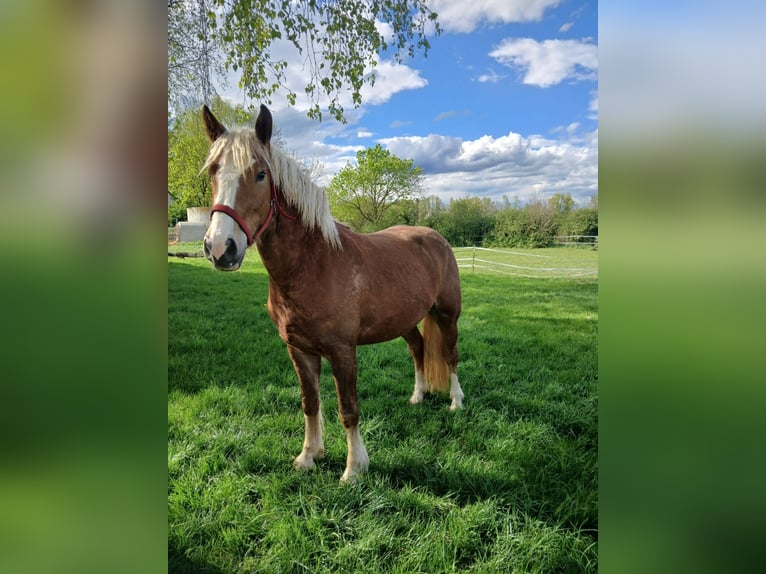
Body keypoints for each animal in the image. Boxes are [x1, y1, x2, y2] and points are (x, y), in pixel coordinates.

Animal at [201, 104, 464, 482]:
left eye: (261, 174)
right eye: (213, 172)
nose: (221, 248)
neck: (312, 266)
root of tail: (435, 237)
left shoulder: (342, 352)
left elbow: (348, 409)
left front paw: (354, 469)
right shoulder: (299, 350)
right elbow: (310, 403)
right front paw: (309, 456)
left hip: (447, 314)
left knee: (451, 354)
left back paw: (456, 401)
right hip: (405, 320)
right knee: (418, 349)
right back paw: (418, 396)